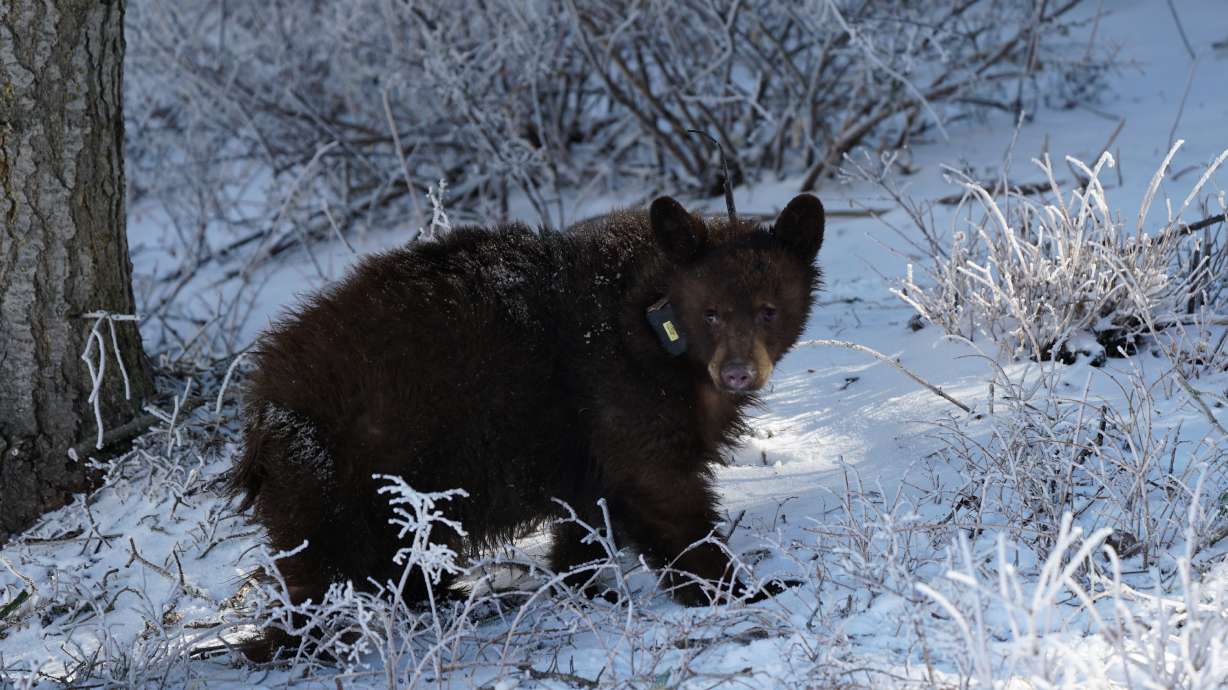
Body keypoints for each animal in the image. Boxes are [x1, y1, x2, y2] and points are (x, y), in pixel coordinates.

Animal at [229, 193, 825, 658]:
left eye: (768, 310)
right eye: (712, 313)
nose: (737, 373)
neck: (659, 332)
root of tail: (260, 404)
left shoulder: (591, 442)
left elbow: (591, 513)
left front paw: (581, 585)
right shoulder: (618, 389)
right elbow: (664, 494)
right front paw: (743, 587)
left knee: (405, 554)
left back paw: (448, 600)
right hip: (343, 473)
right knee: (323, 570)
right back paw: (302, 643)